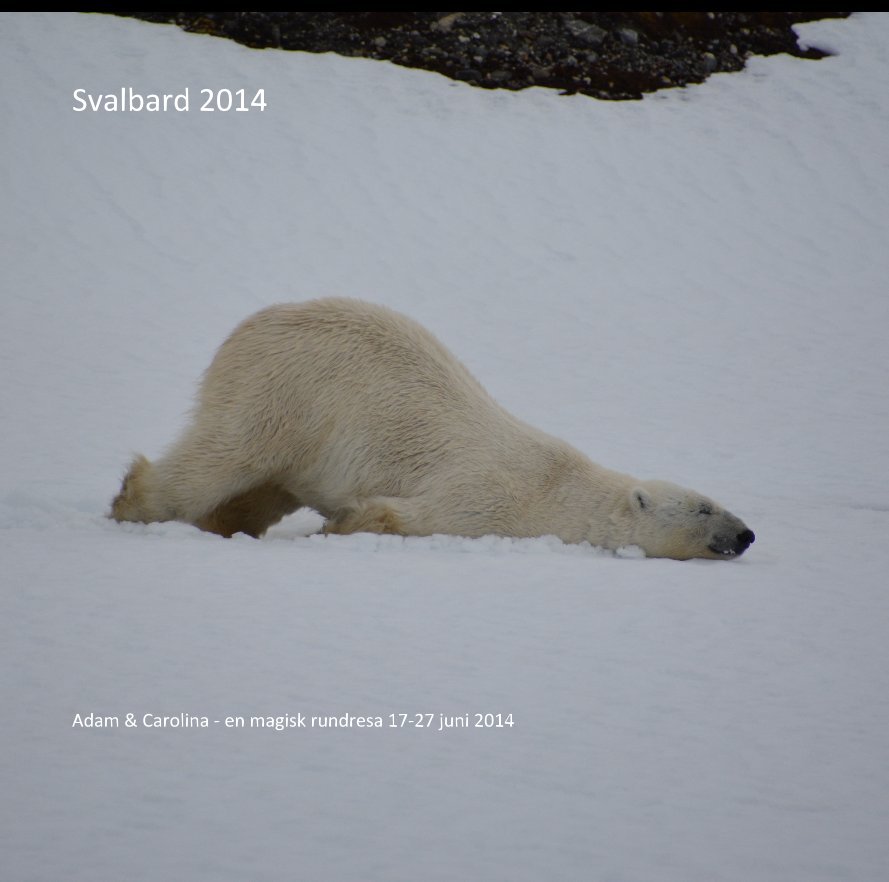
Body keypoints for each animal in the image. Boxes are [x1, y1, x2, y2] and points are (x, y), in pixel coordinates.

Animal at [107, 296, 752, 556]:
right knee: (223, 457)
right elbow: (406, 516)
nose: (746, 534)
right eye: (704, 508)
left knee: (261, 488)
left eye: (720, 502)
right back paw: (132, 504)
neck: (560, 488)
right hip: (285, 392)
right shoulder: (488, 498)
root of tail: (251, 325)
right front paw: (342, 528)